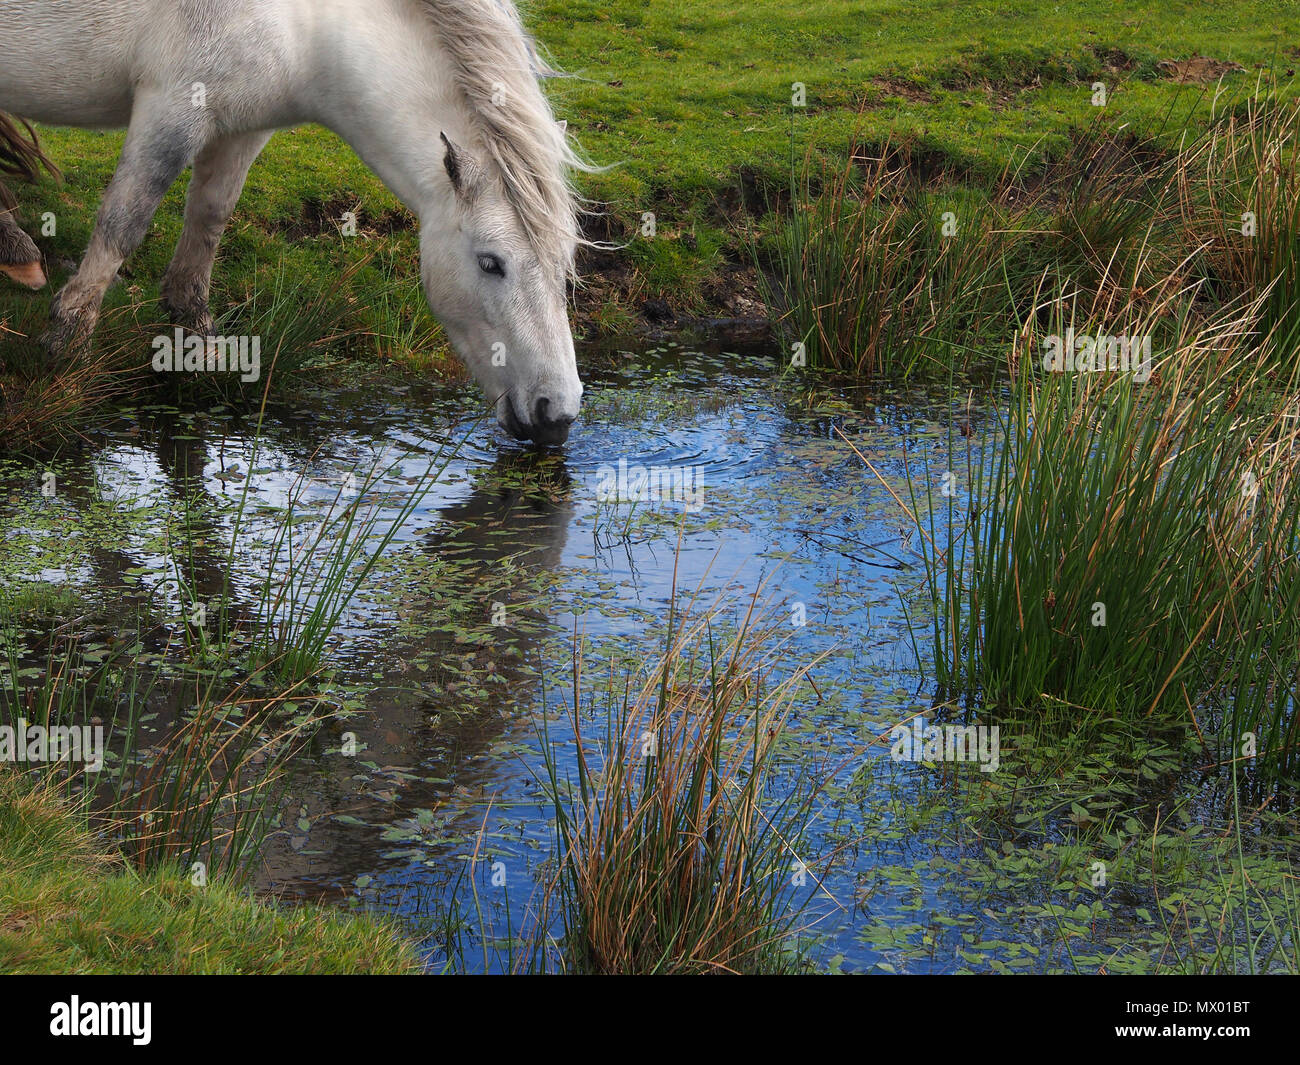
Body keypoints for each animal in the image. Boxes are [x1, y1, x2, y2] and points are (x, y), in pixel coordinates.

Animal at [0, 0, 589, 446]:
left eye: (565, 267)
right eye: (491, 263)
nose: (556, 415)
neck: (304, 23)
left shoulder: (239, 128)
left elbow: (209, 218)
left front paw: (197, 341)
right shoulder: (171, 110)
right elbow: (125, 220)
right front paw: (65, 349)